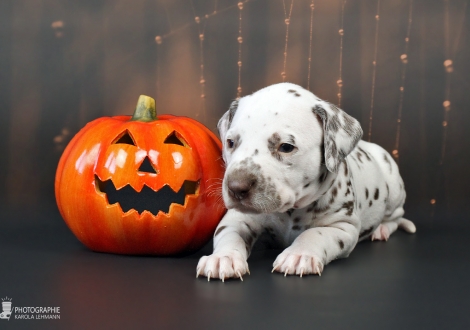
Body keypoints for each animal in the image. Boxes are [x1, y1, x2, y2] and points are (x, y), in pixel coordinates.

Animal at [195, 82, 414, 282]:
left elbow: (314, 234)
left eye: (285, 147)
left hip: (394, 186)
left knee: (396, 216)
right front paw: (223, 258)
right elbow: (229, 234)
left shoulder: (343, 227)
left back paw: (382, 229)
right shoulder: (237, 218)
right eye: (231, 143)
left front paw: (299, 254)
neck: (290, 211)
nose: (236, 188)